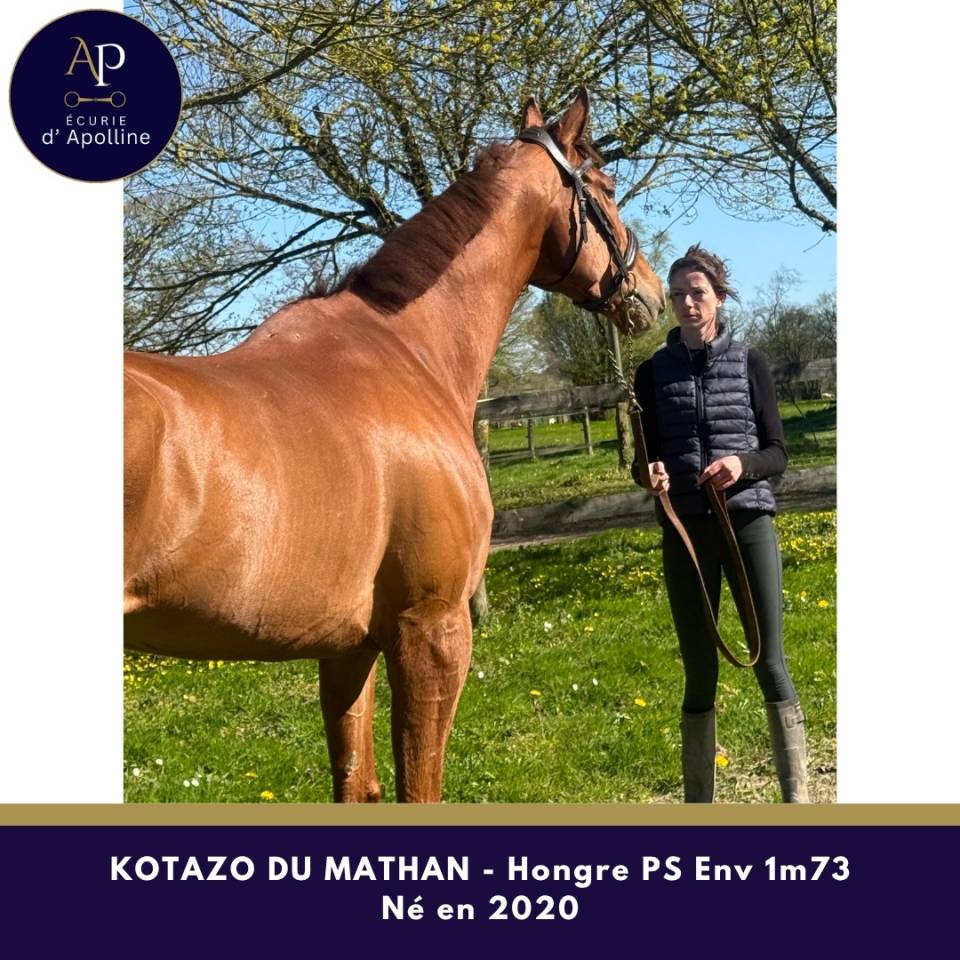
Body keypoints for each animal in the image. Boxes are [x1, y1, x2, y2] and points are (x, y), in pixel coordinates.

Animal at [124, 90, 665, 802]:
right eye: (606, 189)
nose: (652, 295)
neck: (406, 351)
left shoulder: (346, 647)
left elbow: (357, 783)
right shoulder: (432, 630)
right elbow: (419, 785)